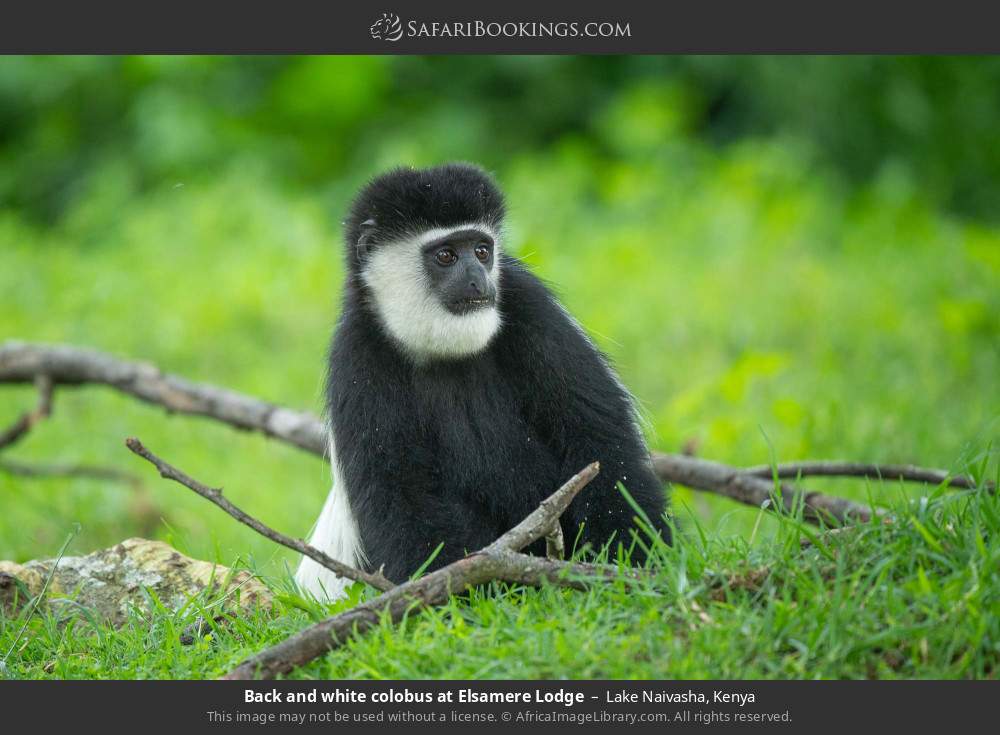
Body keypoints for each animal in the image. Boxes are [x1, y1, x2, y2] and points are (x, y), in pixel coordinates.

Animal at [296, 164, 672, 600]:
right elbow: (401, 492)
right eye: (445, 255)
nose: (478, 278)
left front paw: (634, 565)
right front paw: (460, 591)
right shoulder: (358, 360)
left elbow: (598, 443)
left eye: (481, 251)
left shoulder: (529, 303)